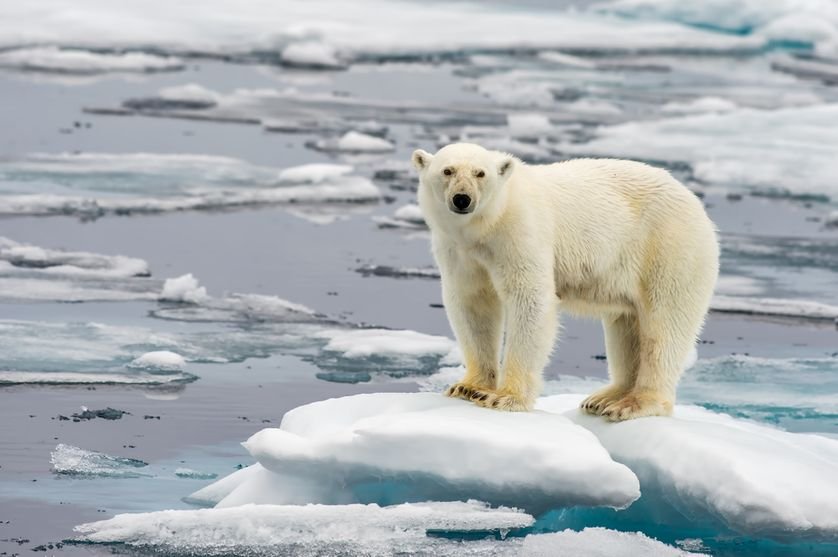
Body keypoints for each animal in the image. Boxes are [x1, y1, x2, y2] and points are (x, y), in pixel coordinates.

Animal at [414, 143, 720, 422]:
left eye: (481, 173)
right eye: (447, 170)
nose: (462, 199)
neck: (487, 225)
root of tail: (696, 204)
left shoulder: (520, 234)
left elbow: (530, 299)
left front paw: (504, 397)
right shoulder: (459, 251)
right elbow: (473, 305)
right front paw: (468, 387)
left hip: (669, 248)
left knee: (665, 325)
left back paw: (634, 403)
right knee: (627, 325)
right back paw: (604, 398)